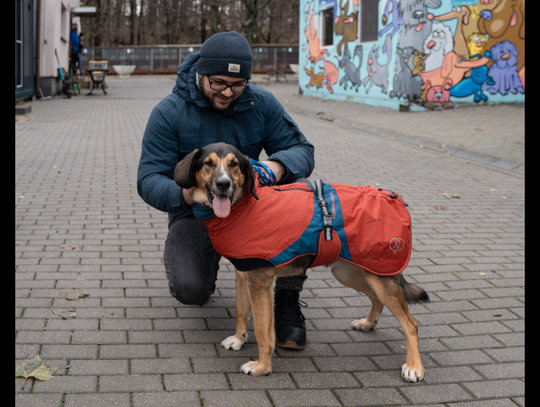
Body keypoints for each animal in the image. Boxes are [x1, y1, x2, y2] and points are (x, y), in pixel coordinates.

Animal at [176, 143, 430, 382]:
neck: (244, 208)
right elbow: (241, 311)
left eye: (234, 165)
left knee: (411, 324)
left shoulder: (260, 281)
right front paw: (239, 340)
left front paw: (262, 367)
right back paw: (368, 323)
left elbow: (263, 330)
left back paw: (414, 367)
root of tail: (394, 198)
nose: (223, 184)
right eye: (208, 163)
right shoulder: (244, 273)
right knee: (377, 300)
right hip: (353, 273)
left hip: (379, 276)